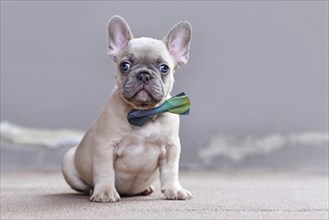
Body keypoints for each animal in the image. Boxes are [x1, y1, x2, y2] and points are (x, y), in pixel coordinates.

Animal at [60, 15, 192, 203]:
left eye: (164, 68)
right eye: (125, 65)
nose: (143, 74)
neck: (144, 113)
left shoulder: (171, 147)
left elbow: (171, 171)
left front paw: (175, 190)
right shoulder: (105, 146)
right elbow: (105, 171)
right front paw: (105, 192)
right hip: (68, 164)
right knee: (84, 185)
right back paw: (93, 190)